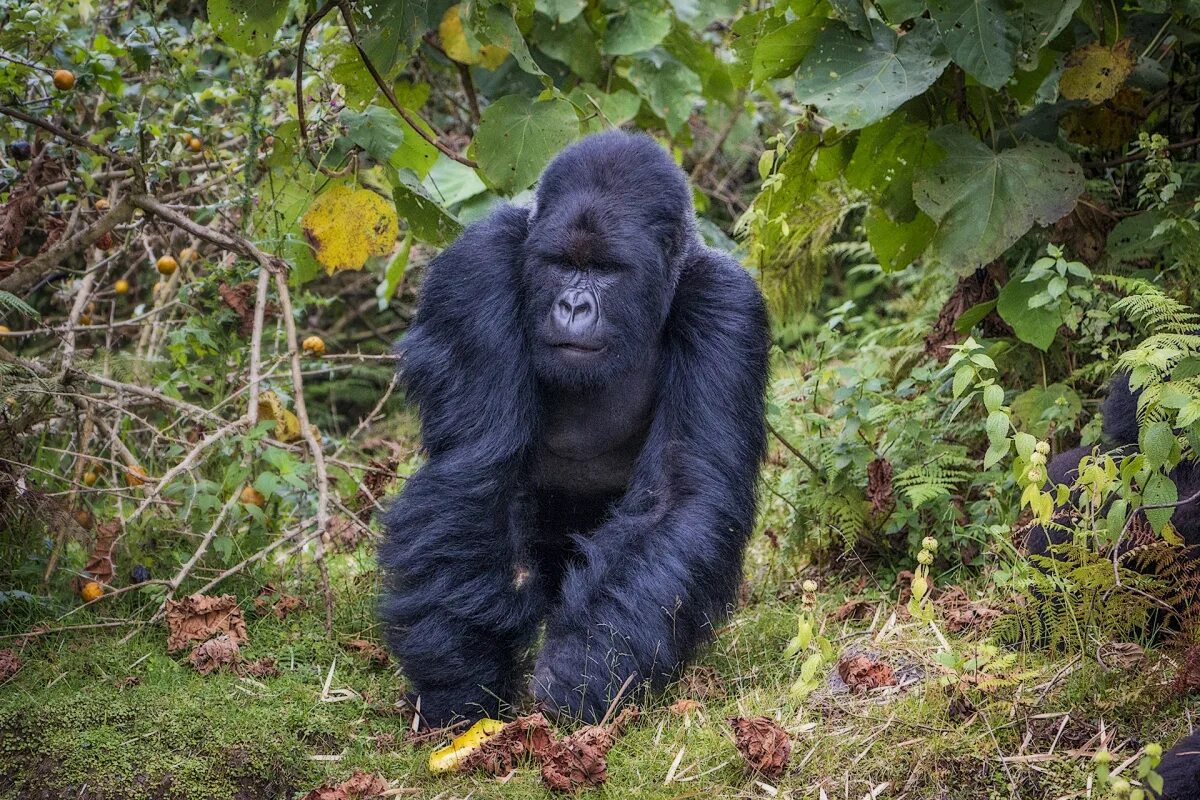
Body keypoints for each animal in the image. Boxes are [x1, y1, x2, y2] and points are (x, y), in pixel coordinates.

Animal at [376, 130, 768, 724]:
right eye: (561, 264)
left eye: (606, 269)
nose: (574, 305)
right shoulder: (476, 268)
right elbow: (475, 468)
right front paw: (460, 677)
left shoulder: (727, 306)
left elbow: (680, 497)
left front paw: (579, 670)